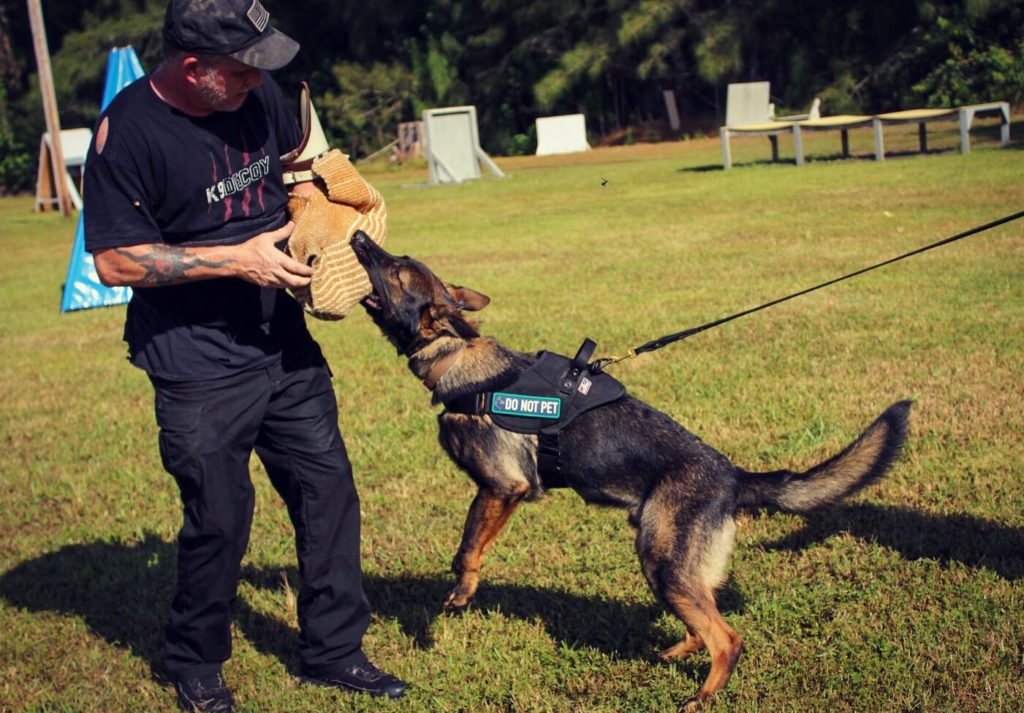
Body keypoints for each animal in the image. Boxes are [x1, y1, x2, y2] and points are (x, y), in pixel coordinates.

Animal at [348, 233, 909, 708]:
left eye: (396, 270)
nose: (357, 236)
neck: (458, 357)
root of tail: (733, 476)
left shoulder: (502, 487)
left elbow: (467, 548)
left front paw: (458, 597)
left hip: (663, 562)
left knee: (727, 638)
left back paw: (703, 695)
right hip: (670, 562)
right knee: (702, 620)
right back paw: (676, 653)